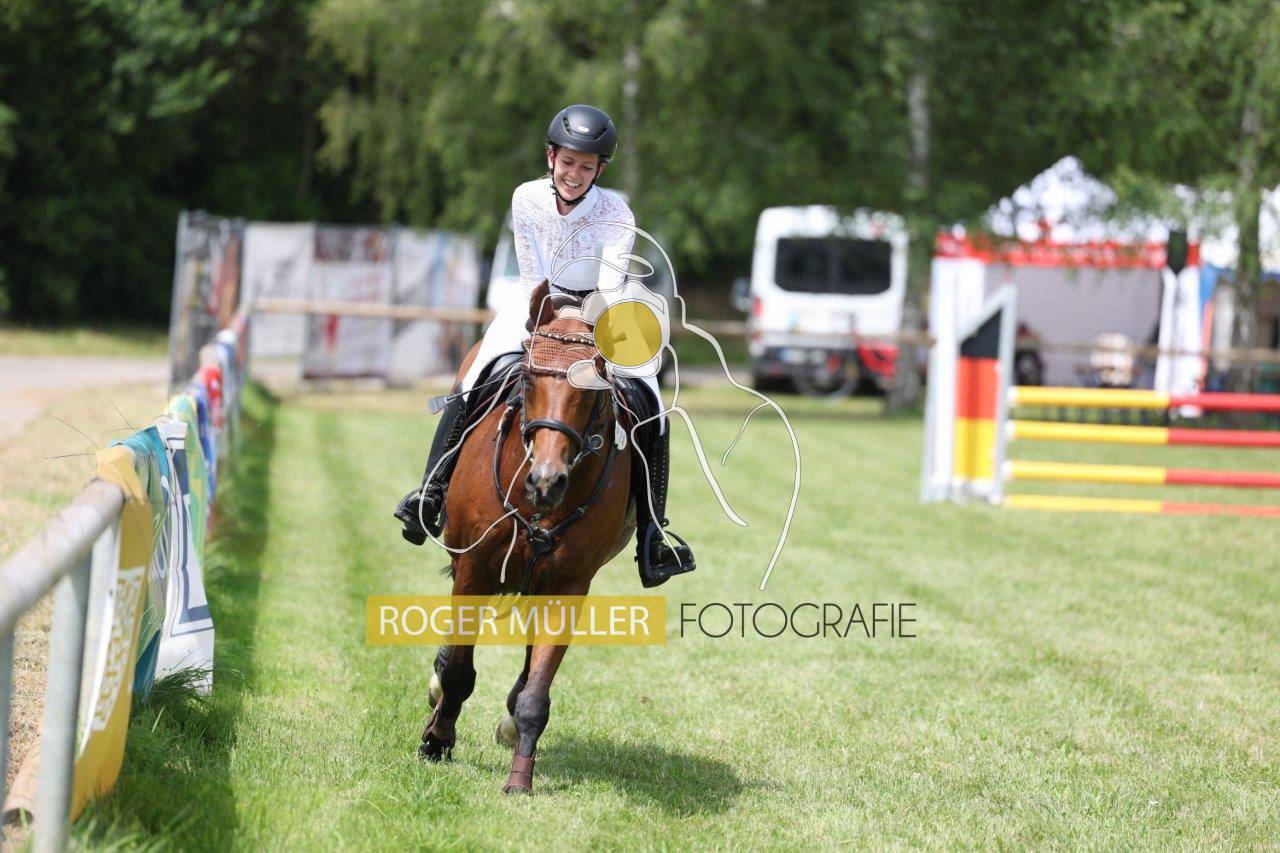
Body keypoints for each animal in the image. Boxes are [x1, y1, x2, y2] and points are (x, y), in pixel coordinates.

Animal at [418, 280, 638, 794]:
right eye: (532, 379)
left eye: (592, 389)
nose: (546, 481)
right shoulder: (474, 569)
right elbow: (457, 671)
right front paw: (437, 740)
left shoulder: (569, 585)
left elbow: (537, 691)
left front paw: (520, 776)